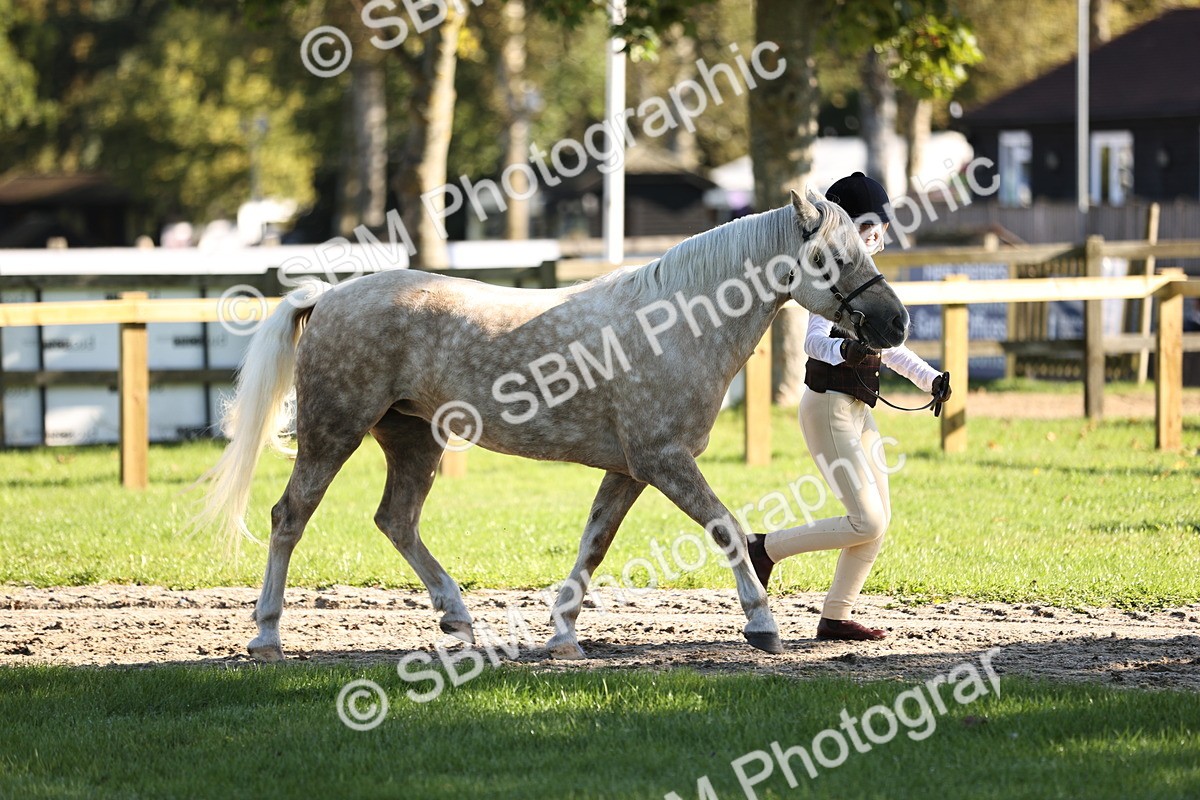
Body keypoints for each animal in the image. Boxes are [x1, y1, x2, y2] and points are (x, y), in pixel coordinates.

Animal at [195, 189, 910, 662]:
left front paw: (563, 633)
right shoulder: (663, 460)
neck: (677, 322)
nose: (895, 323)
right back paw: (267, 636)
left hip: (412, 439)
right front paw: (762, 625)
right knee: (289, 517)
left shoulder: (629, 469)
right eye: (831, 257)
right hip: (333, 432)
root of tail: (326, 296)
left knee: (396, 520)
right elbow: (727, 528)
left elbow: (594, 543)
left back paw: (459, 620)